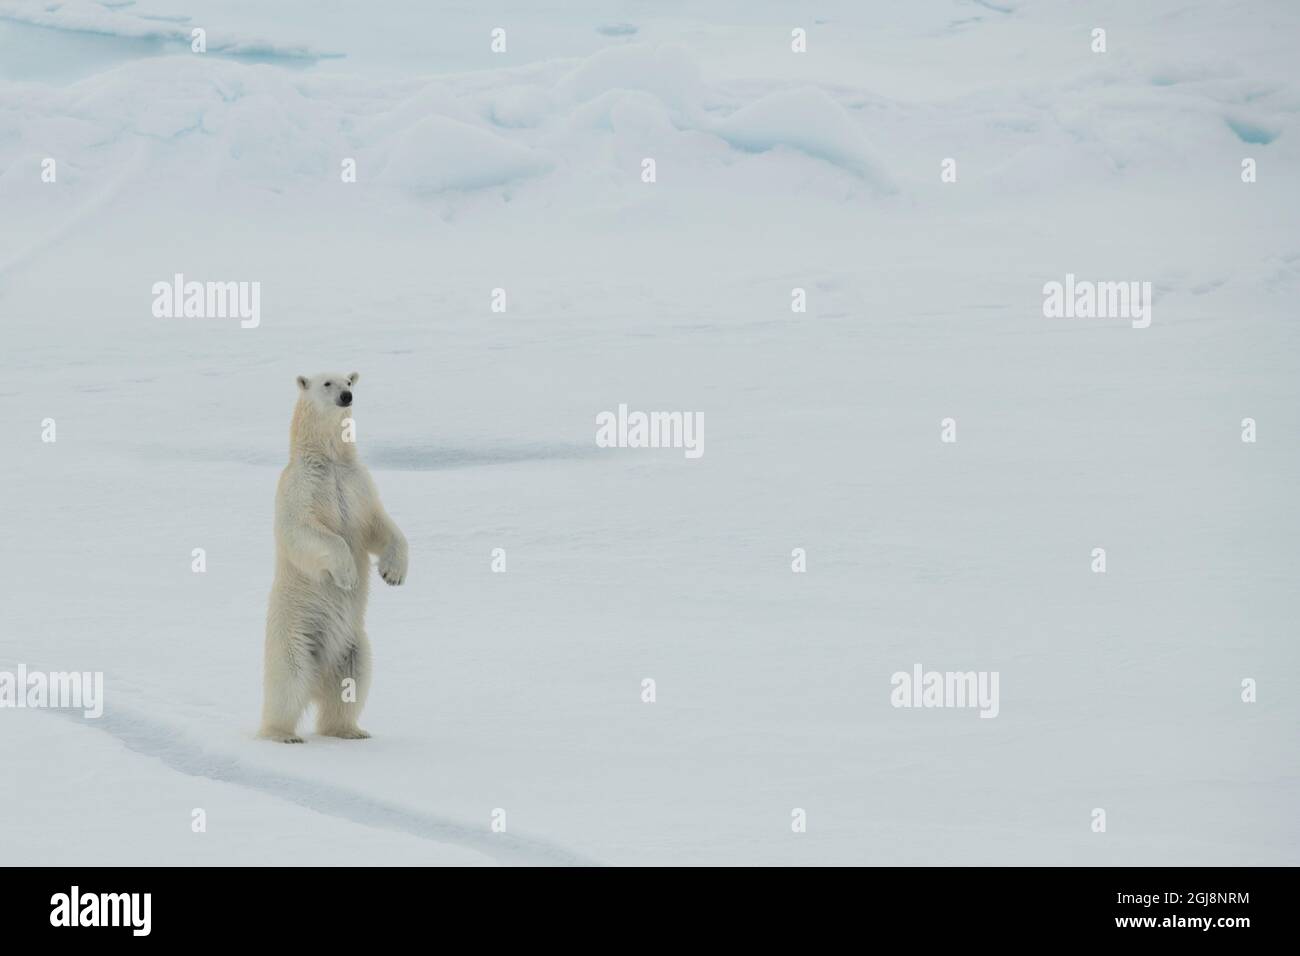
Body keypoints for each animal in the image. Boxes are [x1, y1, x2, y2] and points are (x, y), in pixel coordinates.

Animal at [258, 369, 405, 743]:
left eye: (349, 382)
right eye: (327, 383)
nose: (346, 397)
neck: (330, 459)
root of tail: (318, 678)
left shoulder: (357, 483)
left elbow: (378, 525)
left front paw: (393, 573)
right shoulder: (300, 485)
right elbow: (304, 530)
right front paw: (348, 575)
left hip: (352, 643)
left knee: (352, 681)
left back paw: (350, 730)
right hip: (295, 631)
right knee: (289, 679)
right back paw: (282, 733)